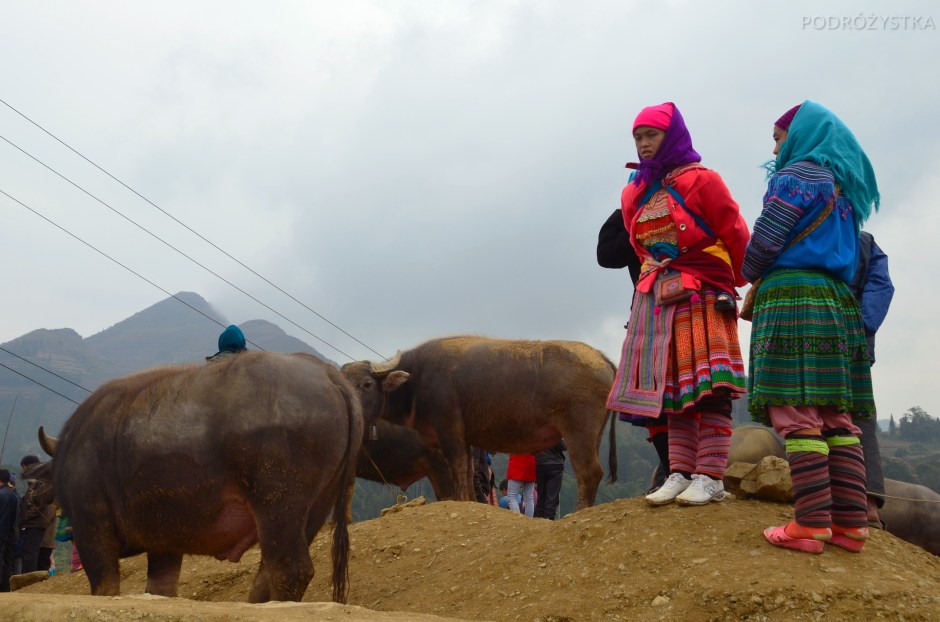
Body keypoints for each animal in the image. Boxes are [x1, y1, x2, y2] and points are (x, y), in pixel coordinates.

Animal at [28, 352, 362, 603]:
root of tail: (327, 374)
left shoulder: (92, 530)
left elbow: (105, 587)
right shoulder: (164, 542)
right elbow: (160, 590)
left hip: (278, 503)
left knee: (289, 569)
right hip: (315, 508)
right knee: (268, 571)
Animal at [342, 336, 617, 510]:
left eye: (366, 384)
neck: (417, 381)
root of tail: (601, 358)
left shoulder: (449, 433)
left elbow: (458, 474)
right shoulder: (463, 440)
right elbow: (466, 475)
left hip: (578, 431)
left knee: (589, 472)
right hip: (594, 435)